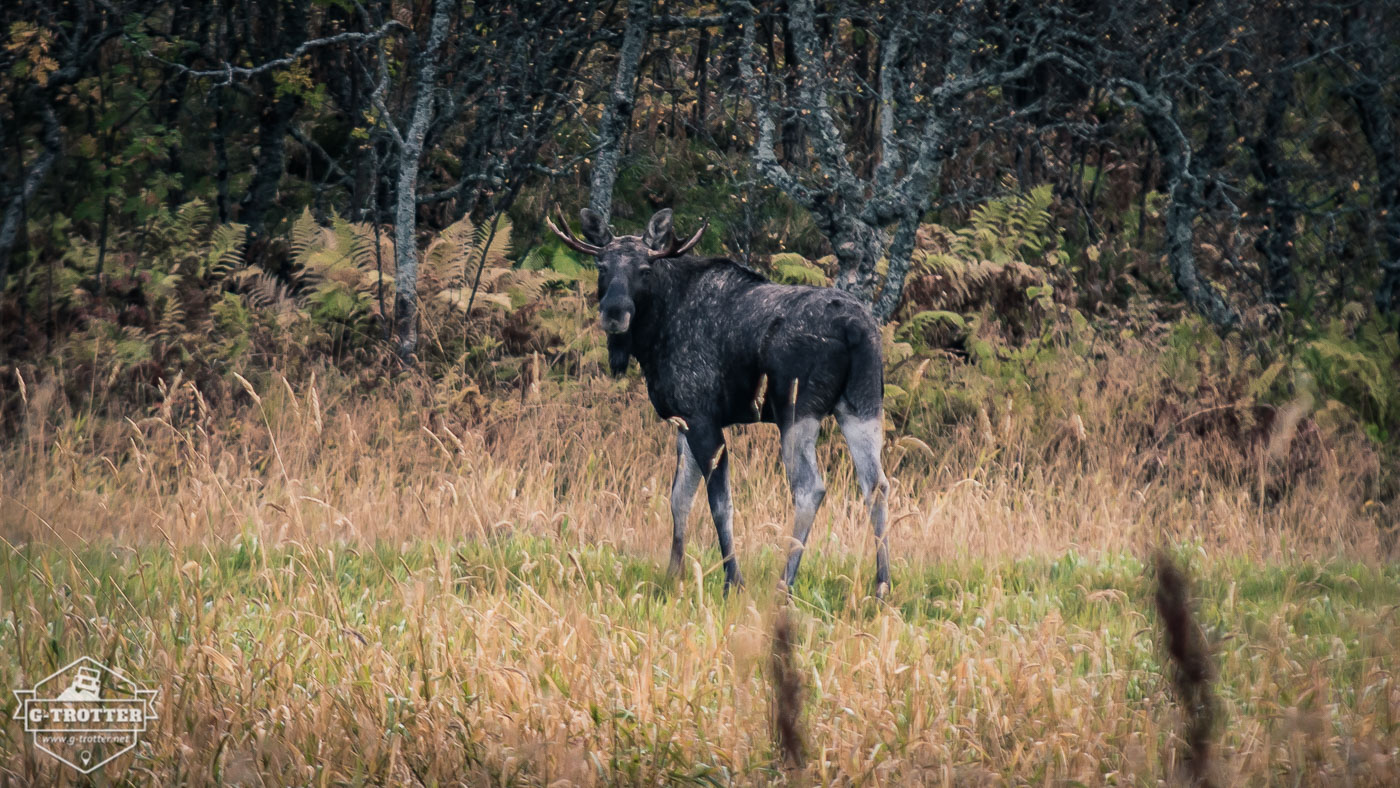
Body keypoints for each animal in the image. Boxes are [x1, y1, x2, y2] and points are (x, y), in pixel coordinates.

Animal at [543, 208, 884, 599]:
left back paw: (784, 584)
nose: (615, 312)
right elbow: (679, 498)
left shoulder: (703, 418)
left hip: (797, 411)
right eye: (601, 265)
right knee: (876, 485)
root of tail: (854, 328)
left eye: (644, 269)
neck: (654, 335)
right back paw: (881, 586)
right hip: (861, 404)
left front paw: (732, 581)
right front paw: (673, 574)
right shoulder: (684, 420)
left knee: (810, 488)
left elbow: (720, 504)